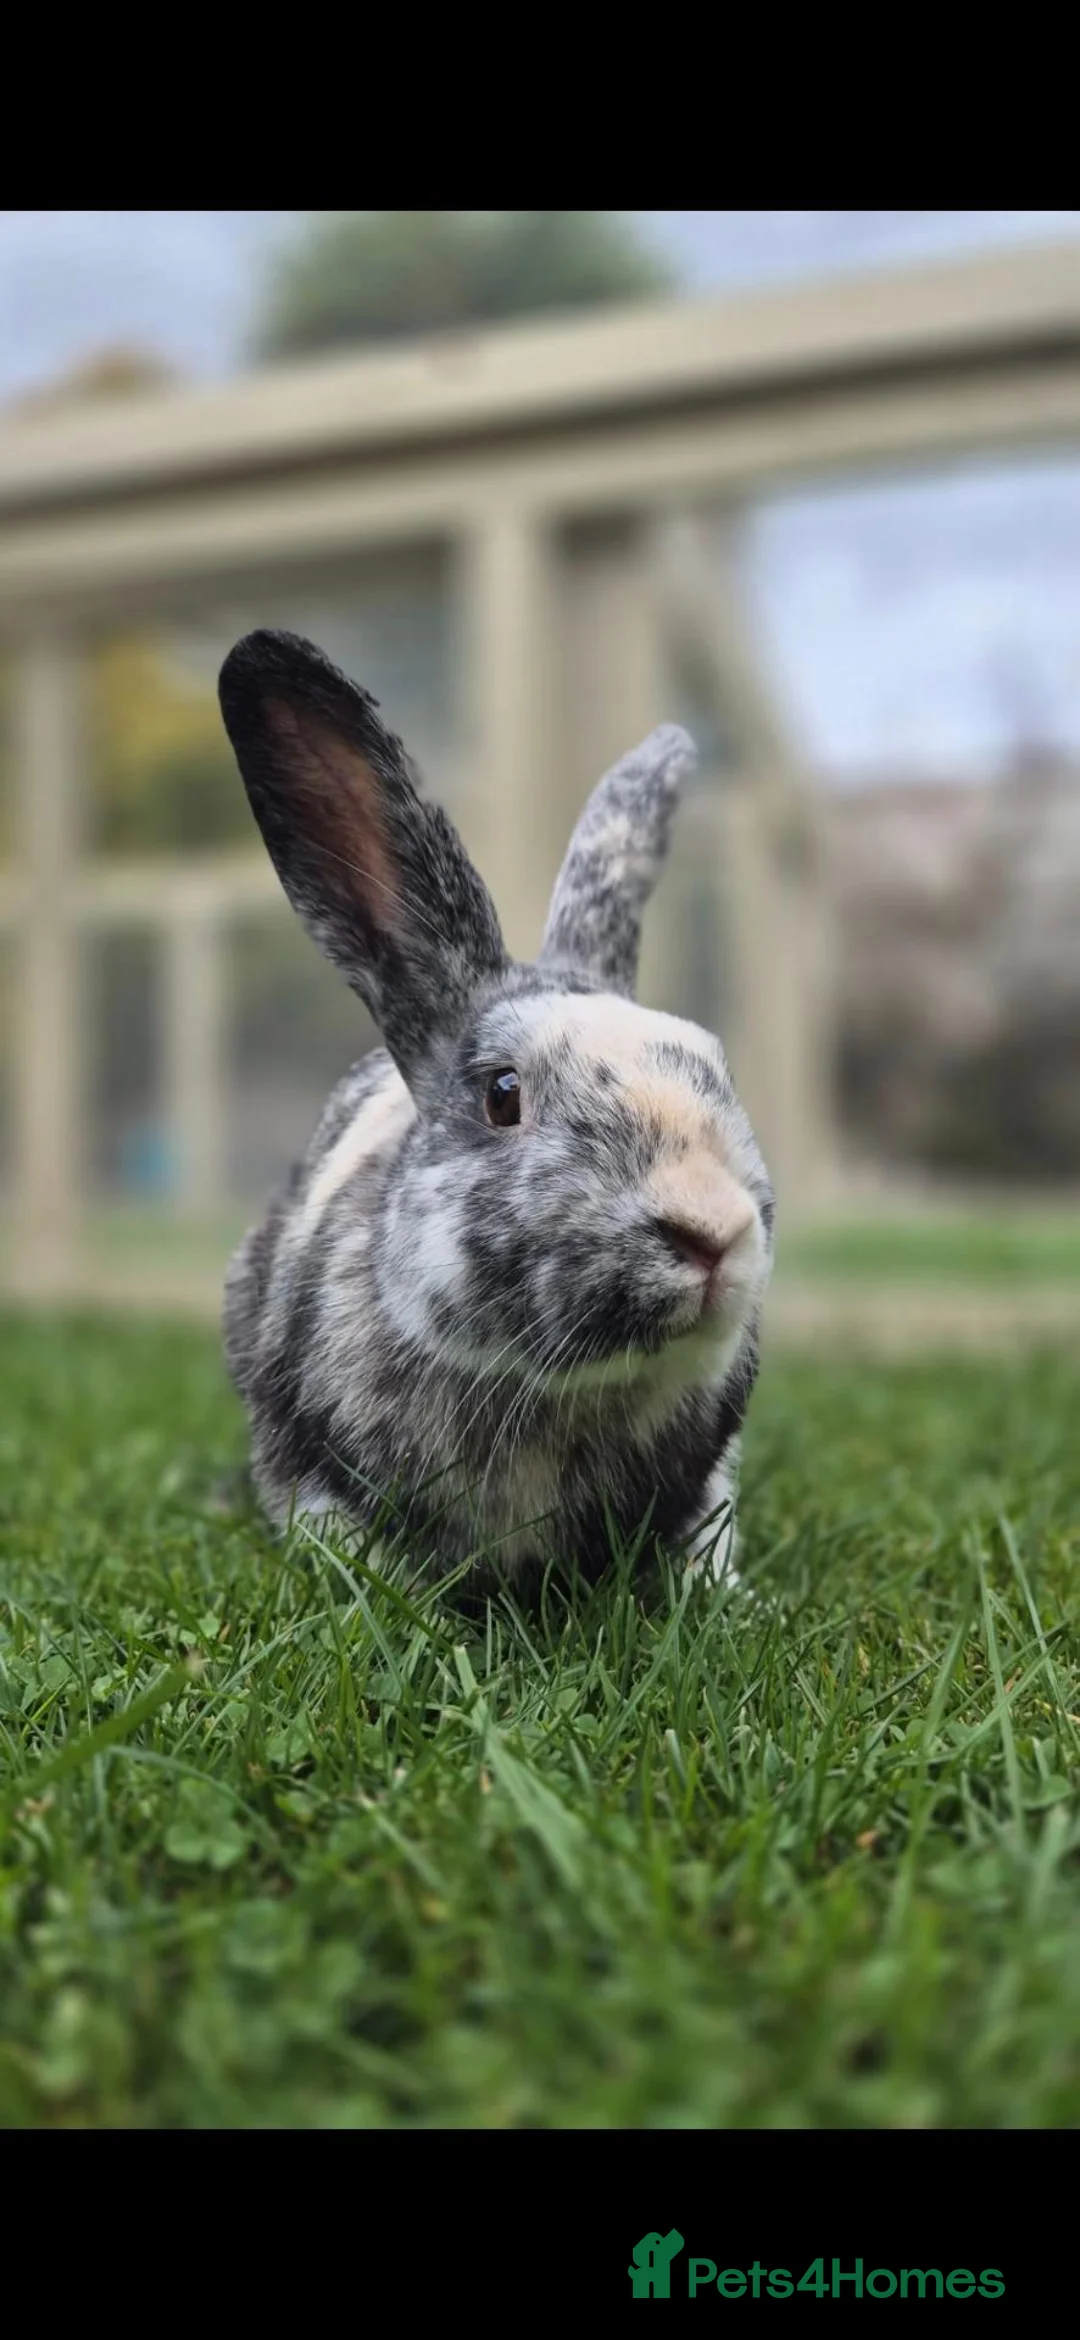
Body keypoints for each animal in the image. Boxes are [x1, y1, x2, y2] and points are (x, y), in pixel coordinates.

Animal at [218, 628, 774, 1594]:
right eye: (502, 1094)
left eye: (718, 1067)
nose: (713, 1230)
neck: (564, 1392)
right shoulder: (309, 1463)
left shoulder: (708, 1479)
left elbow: (705, 1537)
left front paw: (727, 1601)